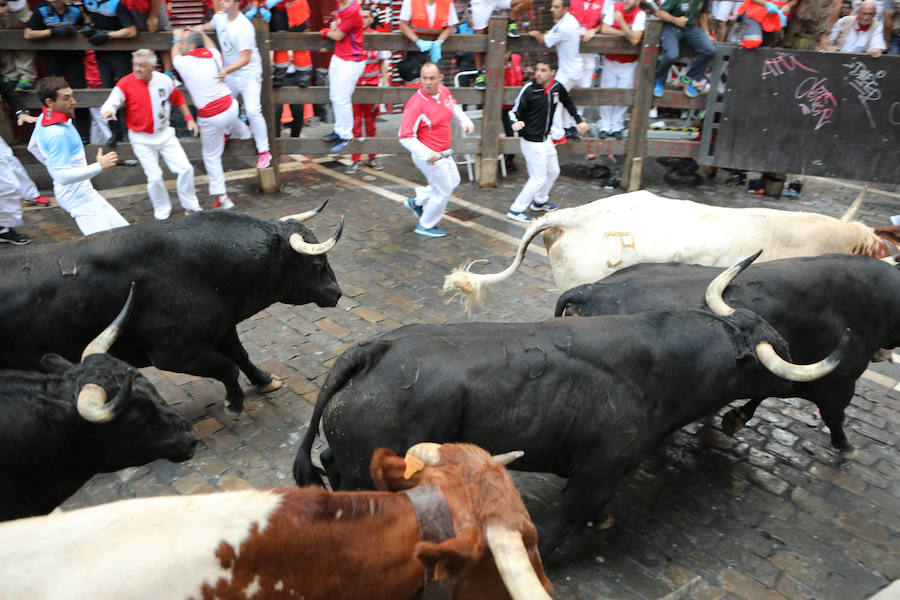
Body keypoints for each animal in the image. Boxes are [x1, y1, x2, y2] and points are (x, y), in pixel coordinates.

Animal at [0, 210, 342, 412]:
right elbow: (227, 367)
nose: (337, 293)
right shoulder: (173, 353)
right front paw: (234, 400)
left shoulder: (221, 327)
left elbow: (240, 356)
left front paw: (264, 379)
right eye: (316, 264)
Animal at [296, 264, 844, 556]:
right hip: (368, 472)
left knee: (326, 460)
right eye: (780, 353)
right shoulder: (599, 472)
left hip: (350, 455)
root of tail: (375, 349)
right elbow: (563, 529)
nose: (792, 372)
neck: (659, 364)